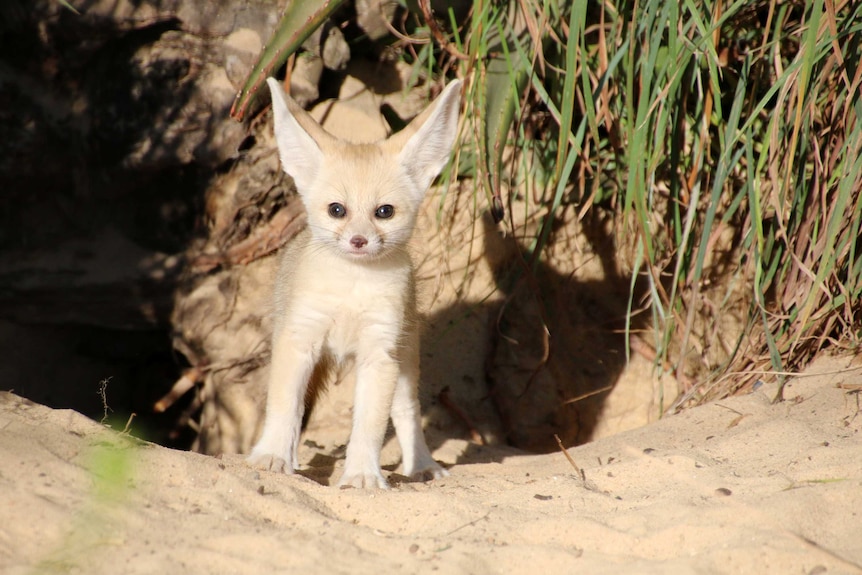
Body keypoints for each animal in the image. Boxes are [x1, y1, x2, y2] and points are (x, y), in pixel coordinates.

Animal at [248, 77, 466, 490]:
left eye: (384, 212)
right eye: (337, 210)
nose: (359, 241)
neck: (352, 289)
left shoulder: (379, 353)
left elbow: (370, 426)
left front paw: (363, 474)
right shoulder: (299, 340)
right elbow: (285, 409)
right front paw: (271, 457)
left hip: (404, 363)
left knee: (407, 413)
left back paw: (422, 465)